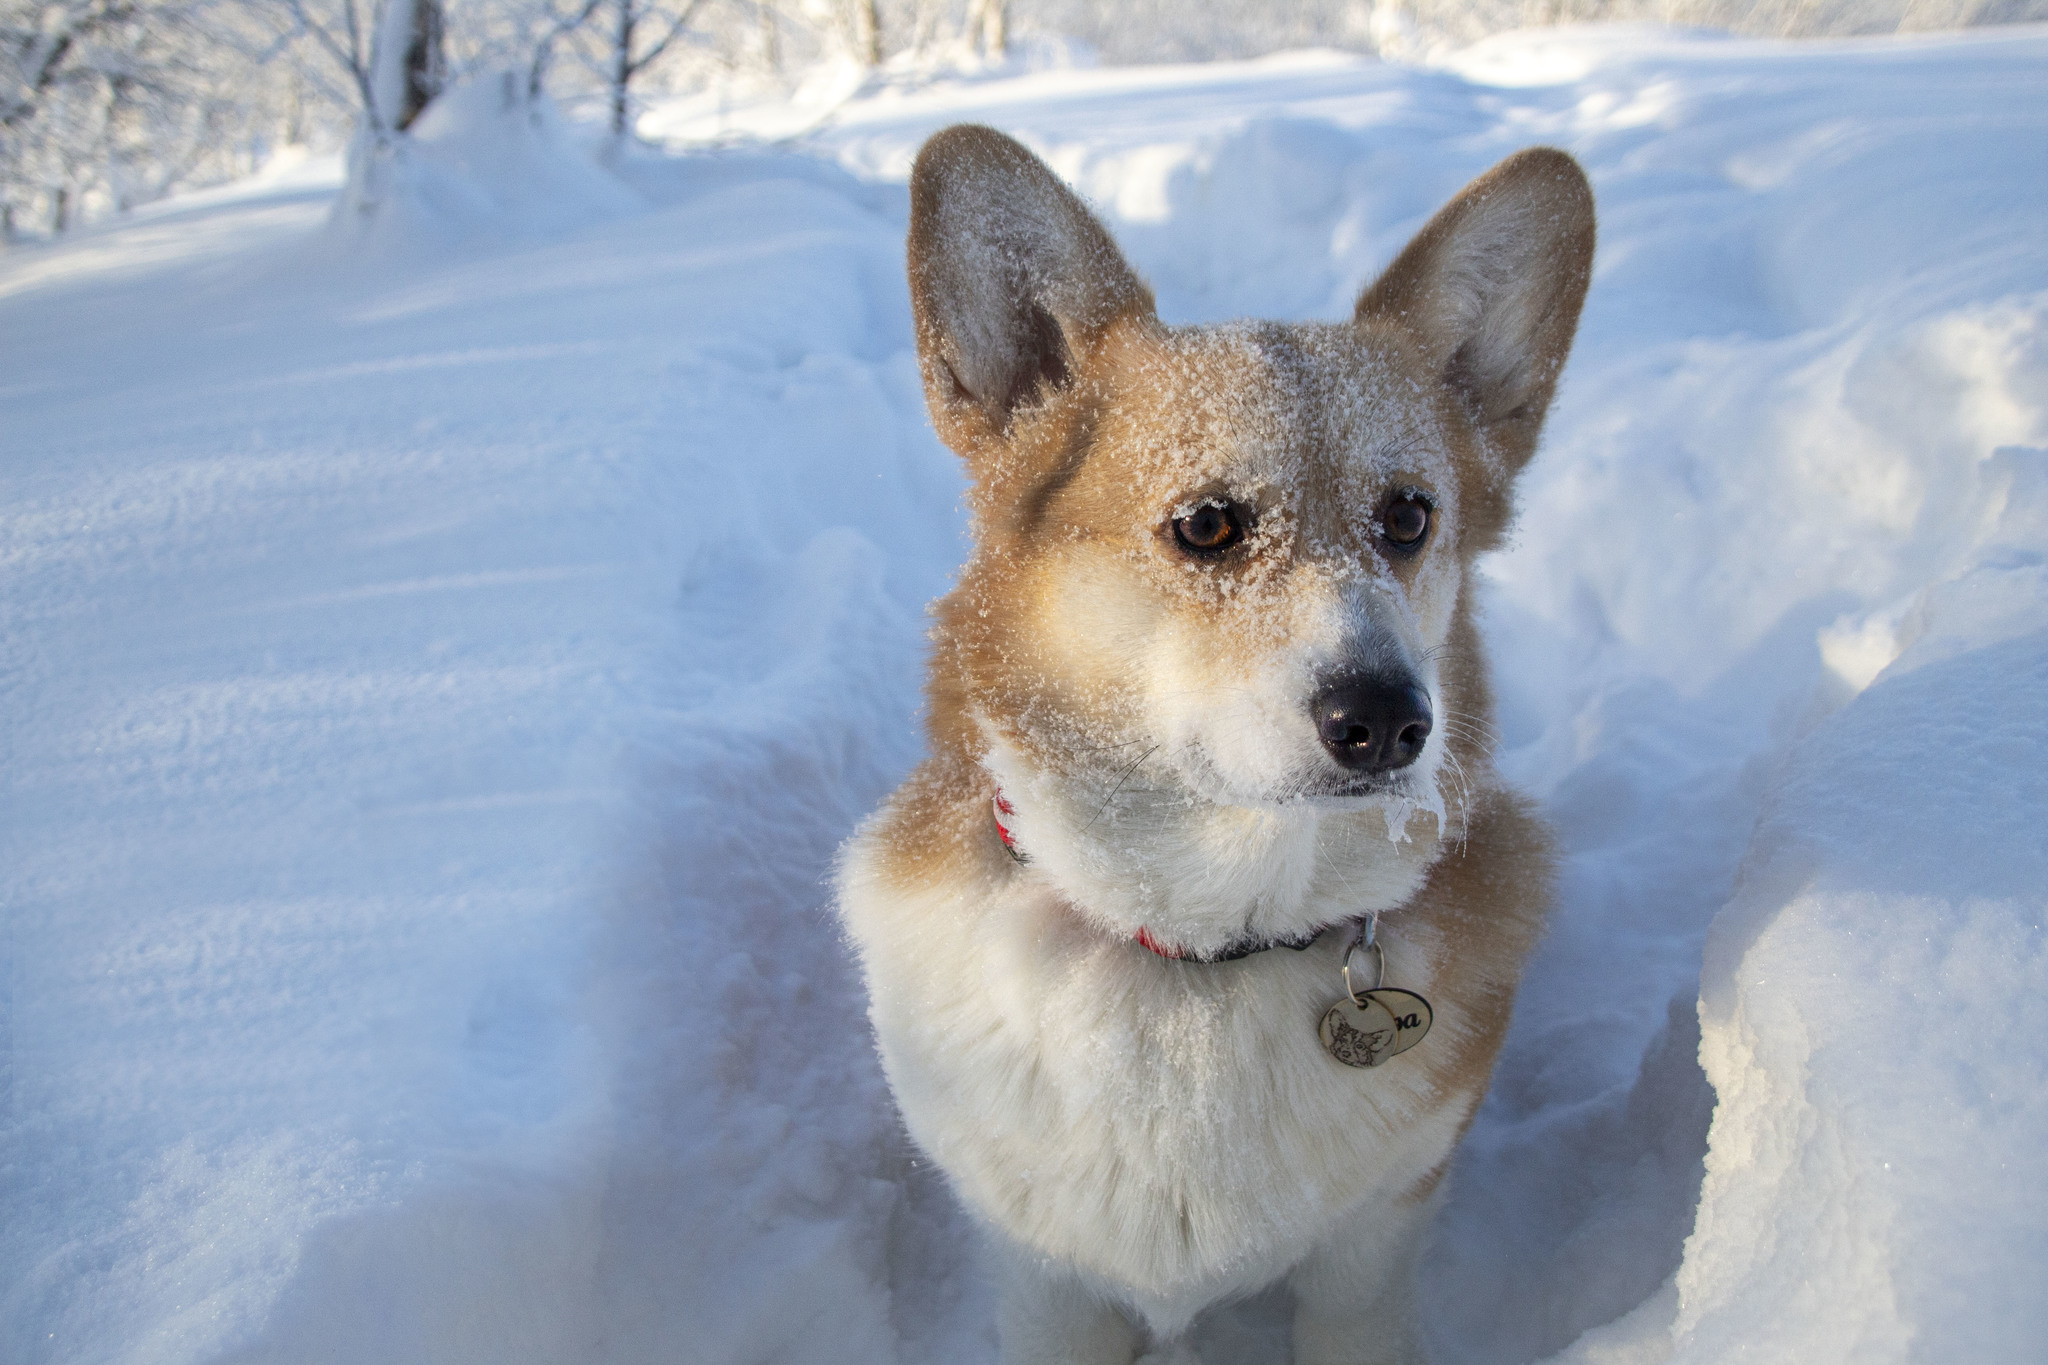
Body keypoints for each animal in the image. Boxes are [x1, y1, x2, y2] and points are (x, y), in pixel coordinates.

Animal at [835, 127, 1597, 1365]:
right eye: (1205, 525)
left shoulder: (1369, 1261)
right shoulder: (1045, 1285)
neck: (1198, 952)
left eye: (1408, 517)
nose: (1387, 721)